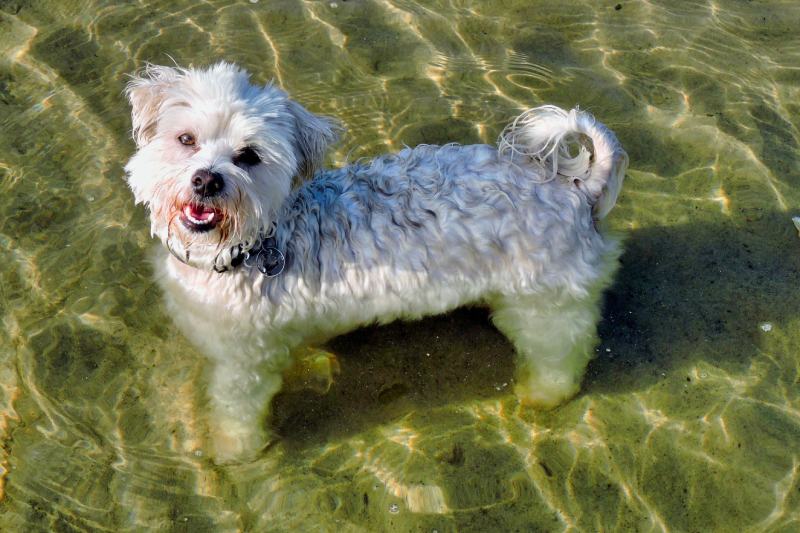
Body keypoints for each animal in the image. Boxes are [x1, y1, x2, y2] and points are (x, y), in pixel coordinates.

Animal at [122, 61, 628, 462]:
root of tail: (578, 188)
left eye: (248, 156)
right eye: (186, 139)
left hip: (544, 306)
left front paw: (233, 452)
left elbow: (236, 410)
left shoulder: (246, 361)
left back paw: (541, 394)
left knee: (562, 352)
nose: (207, 180)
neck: (252, 246)